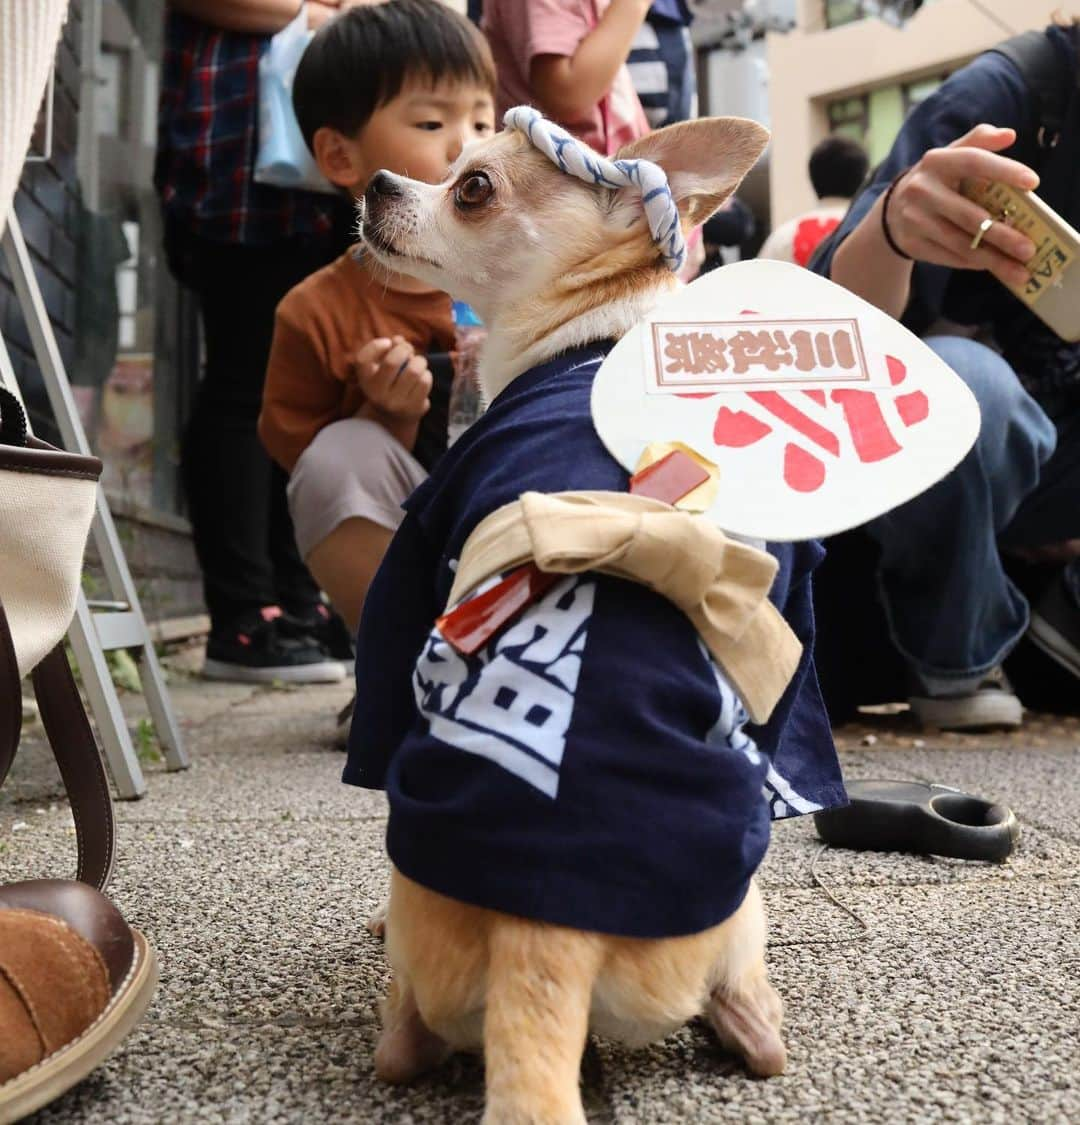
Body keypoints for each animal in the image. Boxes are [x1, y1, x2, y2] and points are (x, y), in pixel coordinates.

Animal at [355, 116, 801, 1125]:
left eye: (471, 187)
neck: (587, 334)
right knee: (759, 1040)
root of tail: (545, 931)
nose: (377, 182)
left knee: (398, 1047)